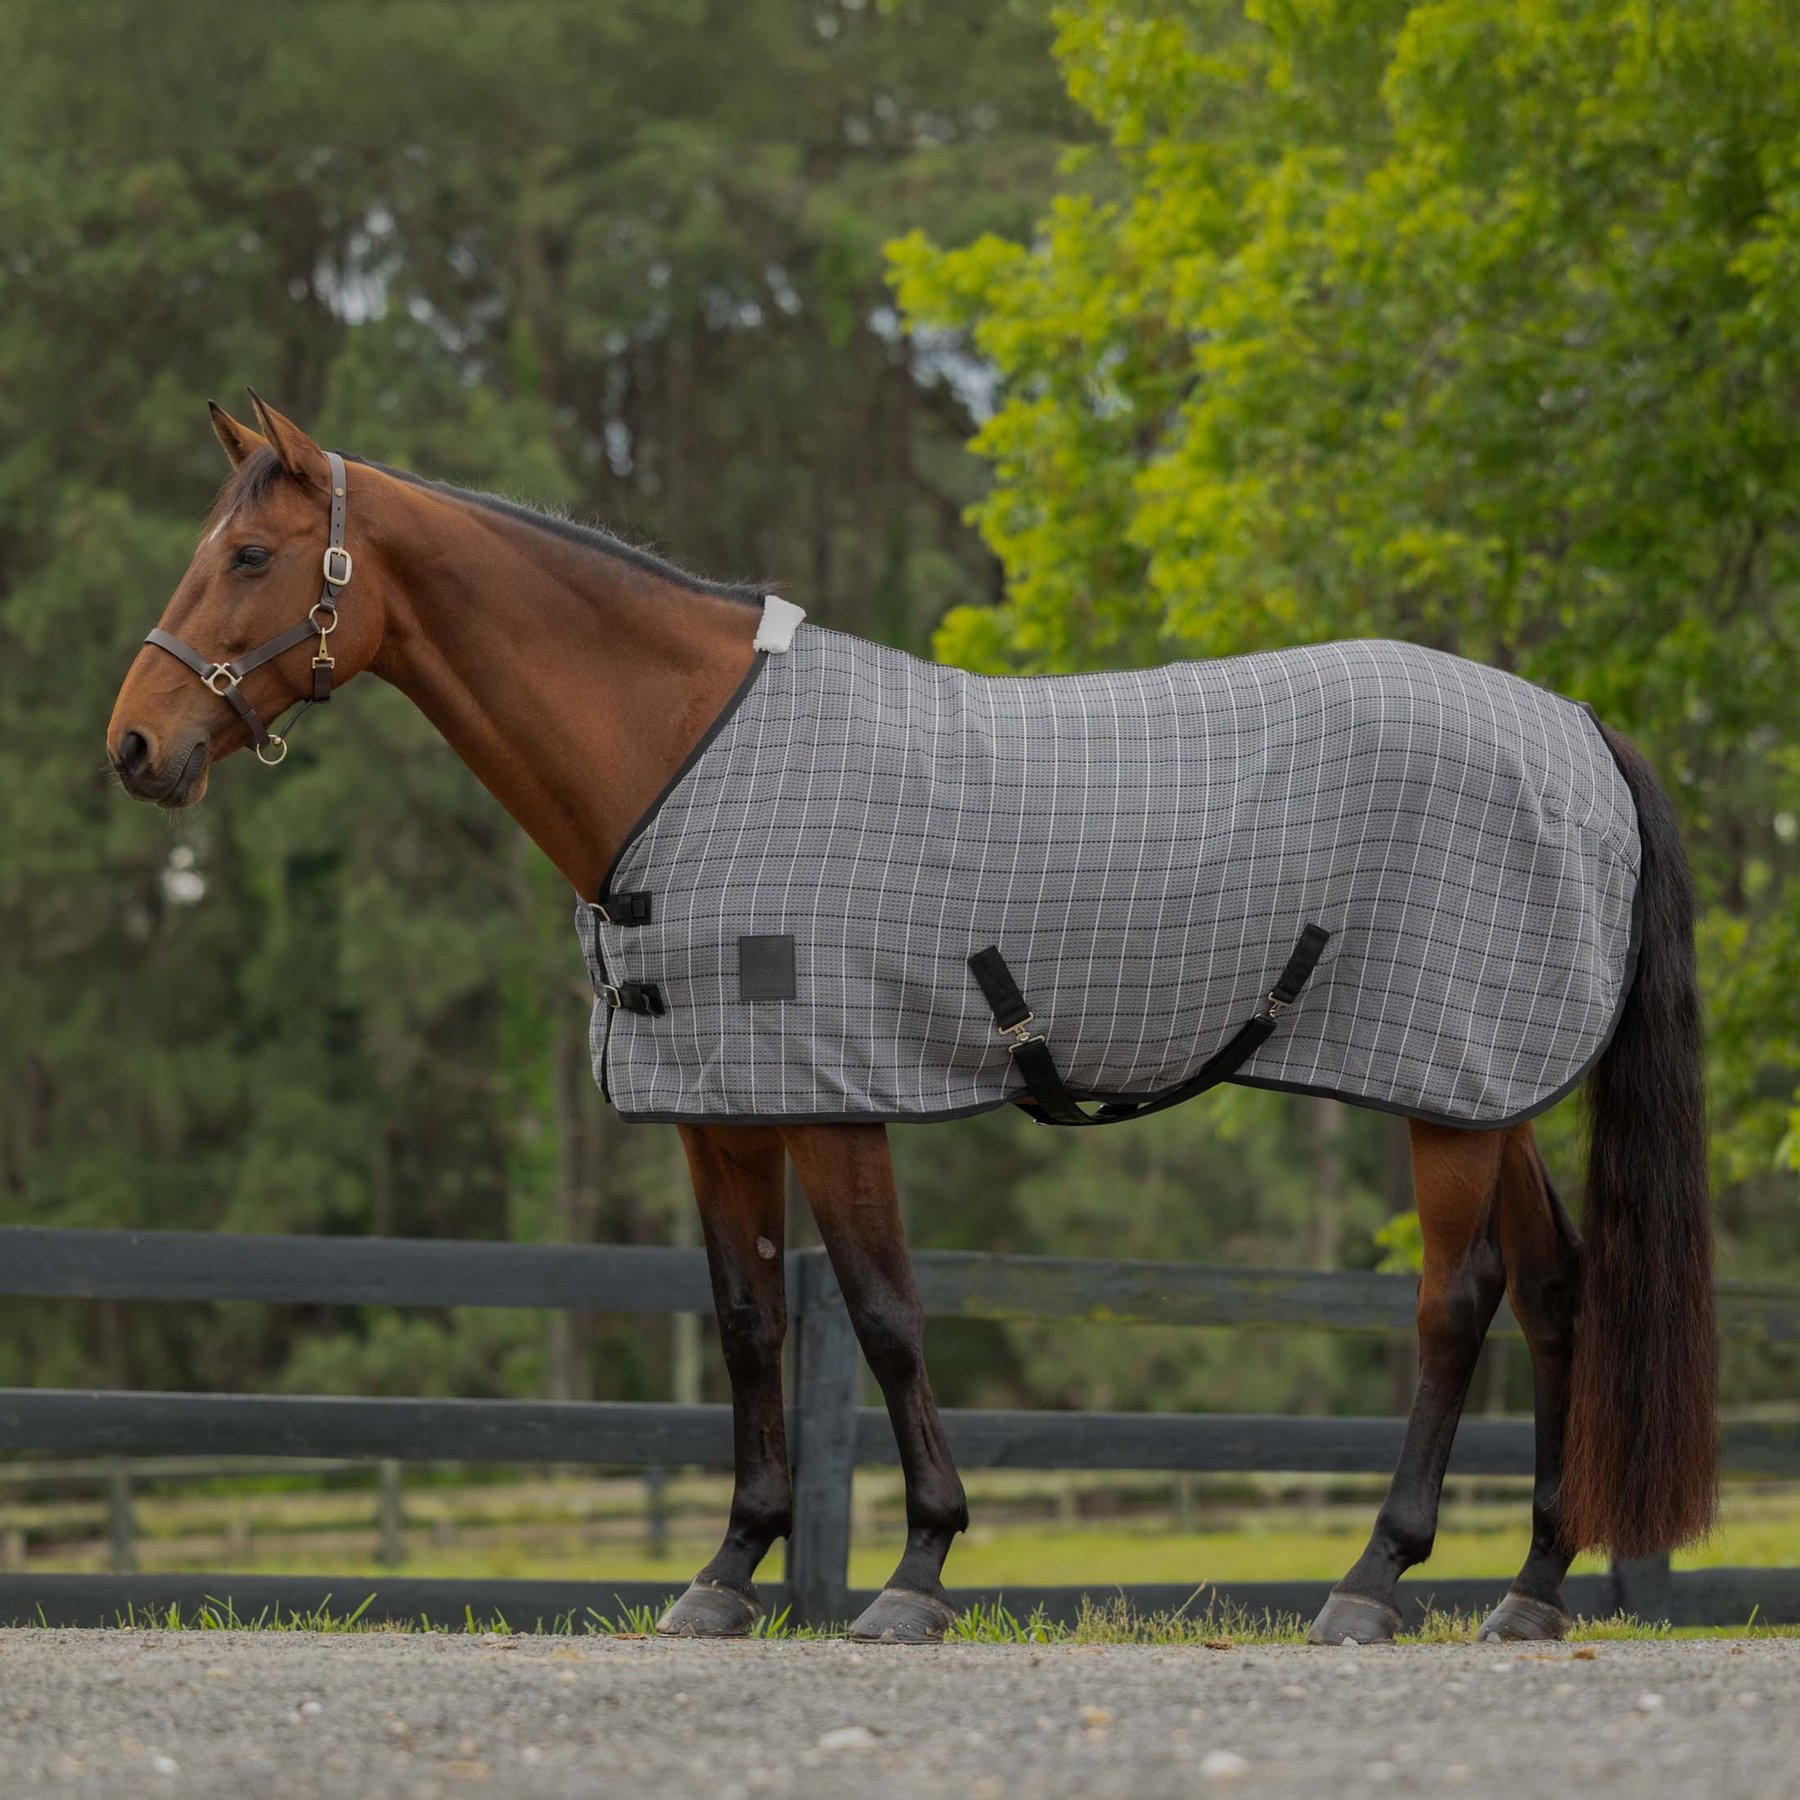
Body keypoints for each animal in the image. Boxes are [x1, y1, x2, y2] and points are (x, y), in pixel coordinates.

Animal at [106, 396, 1717, 1646]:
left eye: (250, 556)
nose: (134, 746)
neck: (681, 753)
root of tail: (1576, 726)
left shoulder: (833, 1096)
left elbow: (881, 1314)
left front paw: (918, 1569)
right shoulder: (719, 1108)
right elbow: (752, 1320)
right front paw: (727, 1572)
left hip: (1447, 1092)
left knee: (1460, 1302)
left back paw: (1374, 1582)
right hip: (1489, 1087)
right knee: (1560, 1289)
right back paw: (1533, 1587)